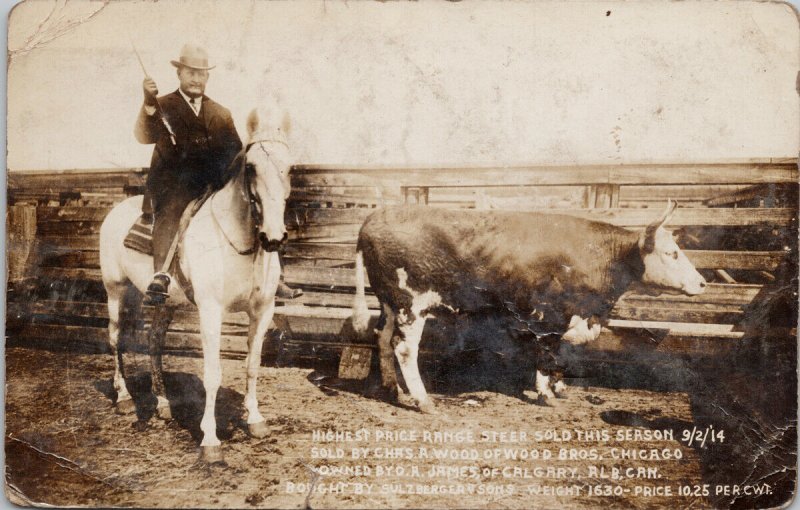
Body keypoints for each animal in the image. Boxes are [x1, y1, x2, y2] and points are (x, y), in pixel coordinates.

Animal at [98, 107, 290, 462]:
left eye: (290, 166)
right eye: (251, 167)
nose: (273, 237)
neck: (238, 241)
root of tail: (116, 210)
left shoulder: (263, 310)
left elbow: (253, 365)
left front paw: (255, 420)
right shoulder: (211, 312)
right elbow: (212, 375)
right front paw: (210, 440)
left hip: (163, 302)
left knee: (154, 343)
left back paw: (162, 404)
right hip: (115, 290)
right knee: (116, 338)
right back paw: (125, 398)